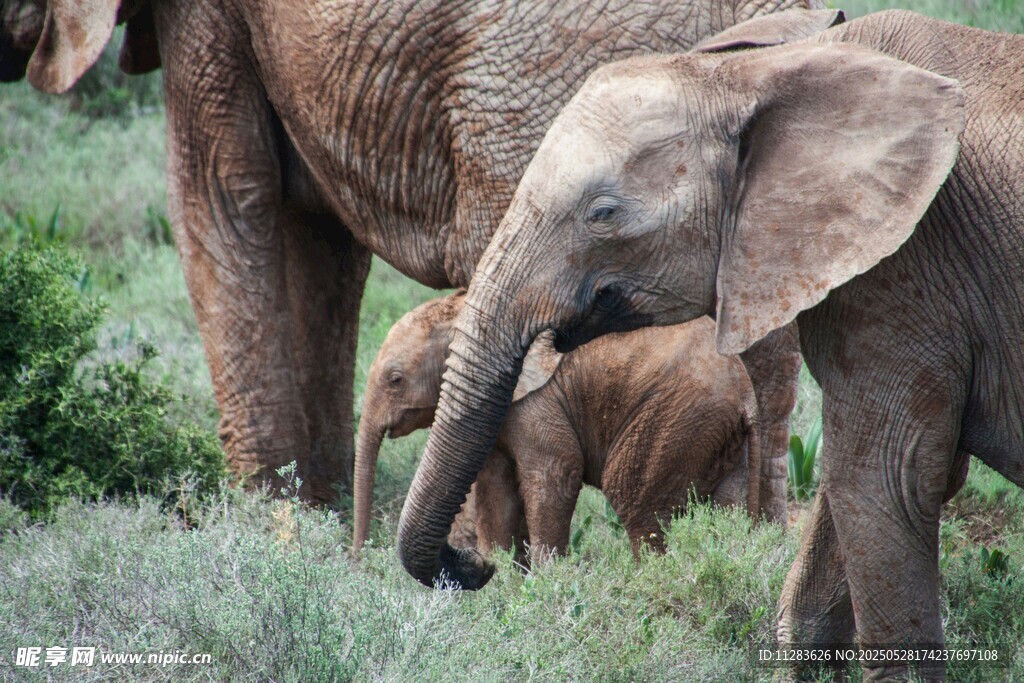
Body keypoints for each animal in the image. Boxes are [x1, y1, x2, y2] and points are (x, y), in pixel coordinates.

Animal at [352, 292, 760, 562]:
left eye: (395, 380)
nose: (358, 556)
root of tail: (746, 397)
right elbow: (494, 488)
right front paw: (500, 579)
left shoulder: (538, 402)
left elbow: (554, 474)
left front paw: (547, 582)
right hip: (720, 436)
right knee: (728, 509)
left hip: (676, 417)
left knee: (636, 502)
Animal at [395, 7, 1024, 680]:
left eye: (603, 213)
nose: (473, 566)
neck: (762, 71)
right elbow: (858, 491)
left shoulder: (909, 266)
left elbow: (885, 478)